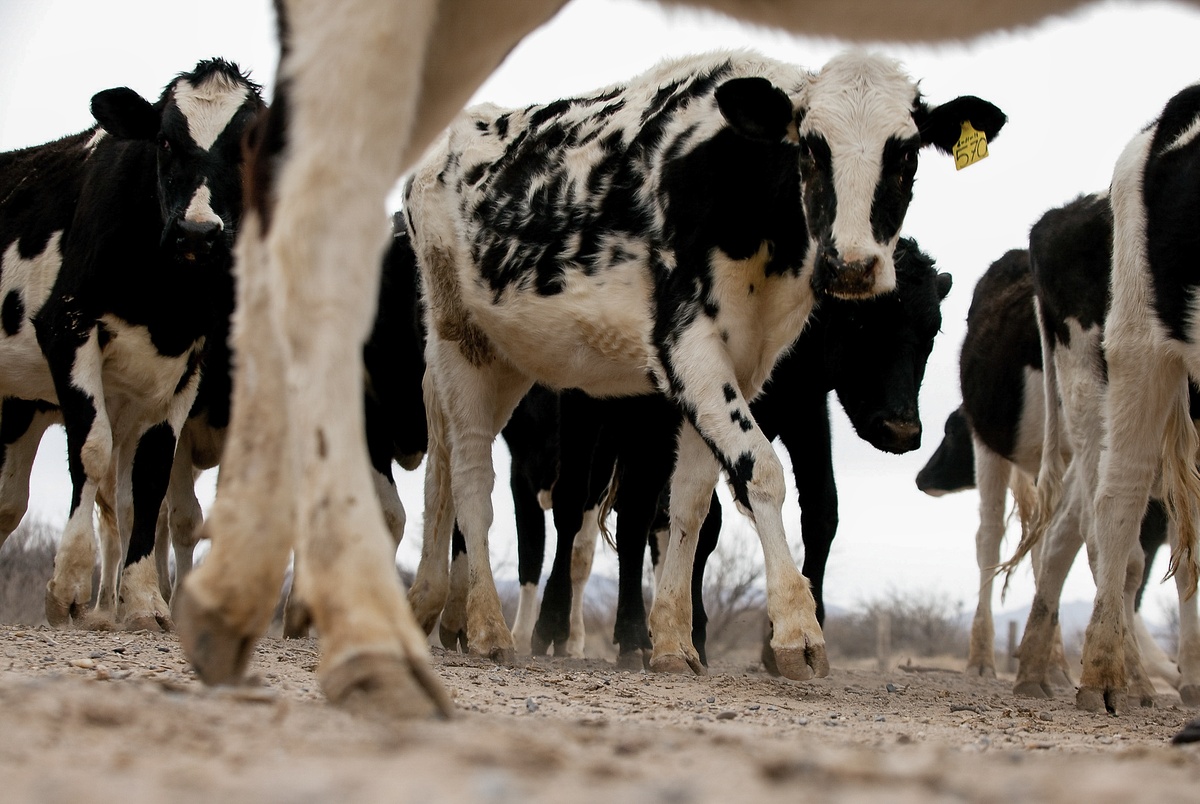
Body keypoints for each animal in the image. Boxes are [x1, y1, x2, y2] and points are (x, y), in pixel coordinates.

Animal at [0, 59, 264, 630]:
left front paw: (144, 600)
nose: (197, 233)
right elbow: (91, 451)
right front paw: (70, 587)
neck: (164, 300)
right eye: (164, 141)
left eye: (245, 146)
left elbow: (150, 477)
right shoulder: (66, 327)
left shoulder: (187, 366)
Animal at [171, 0, 1115, 720]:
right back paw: (484, 627)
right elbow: (758, 474)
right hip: (459, 345)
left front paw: (669, 642)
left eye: (906, 148)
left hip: (511, 360)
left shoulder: (738, 365)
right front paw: (797, 633)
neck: (743, 192)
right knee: (468, 475)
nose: (852, 265)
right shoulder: (685, 345)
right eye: (809, 145)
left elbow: (693, 507)